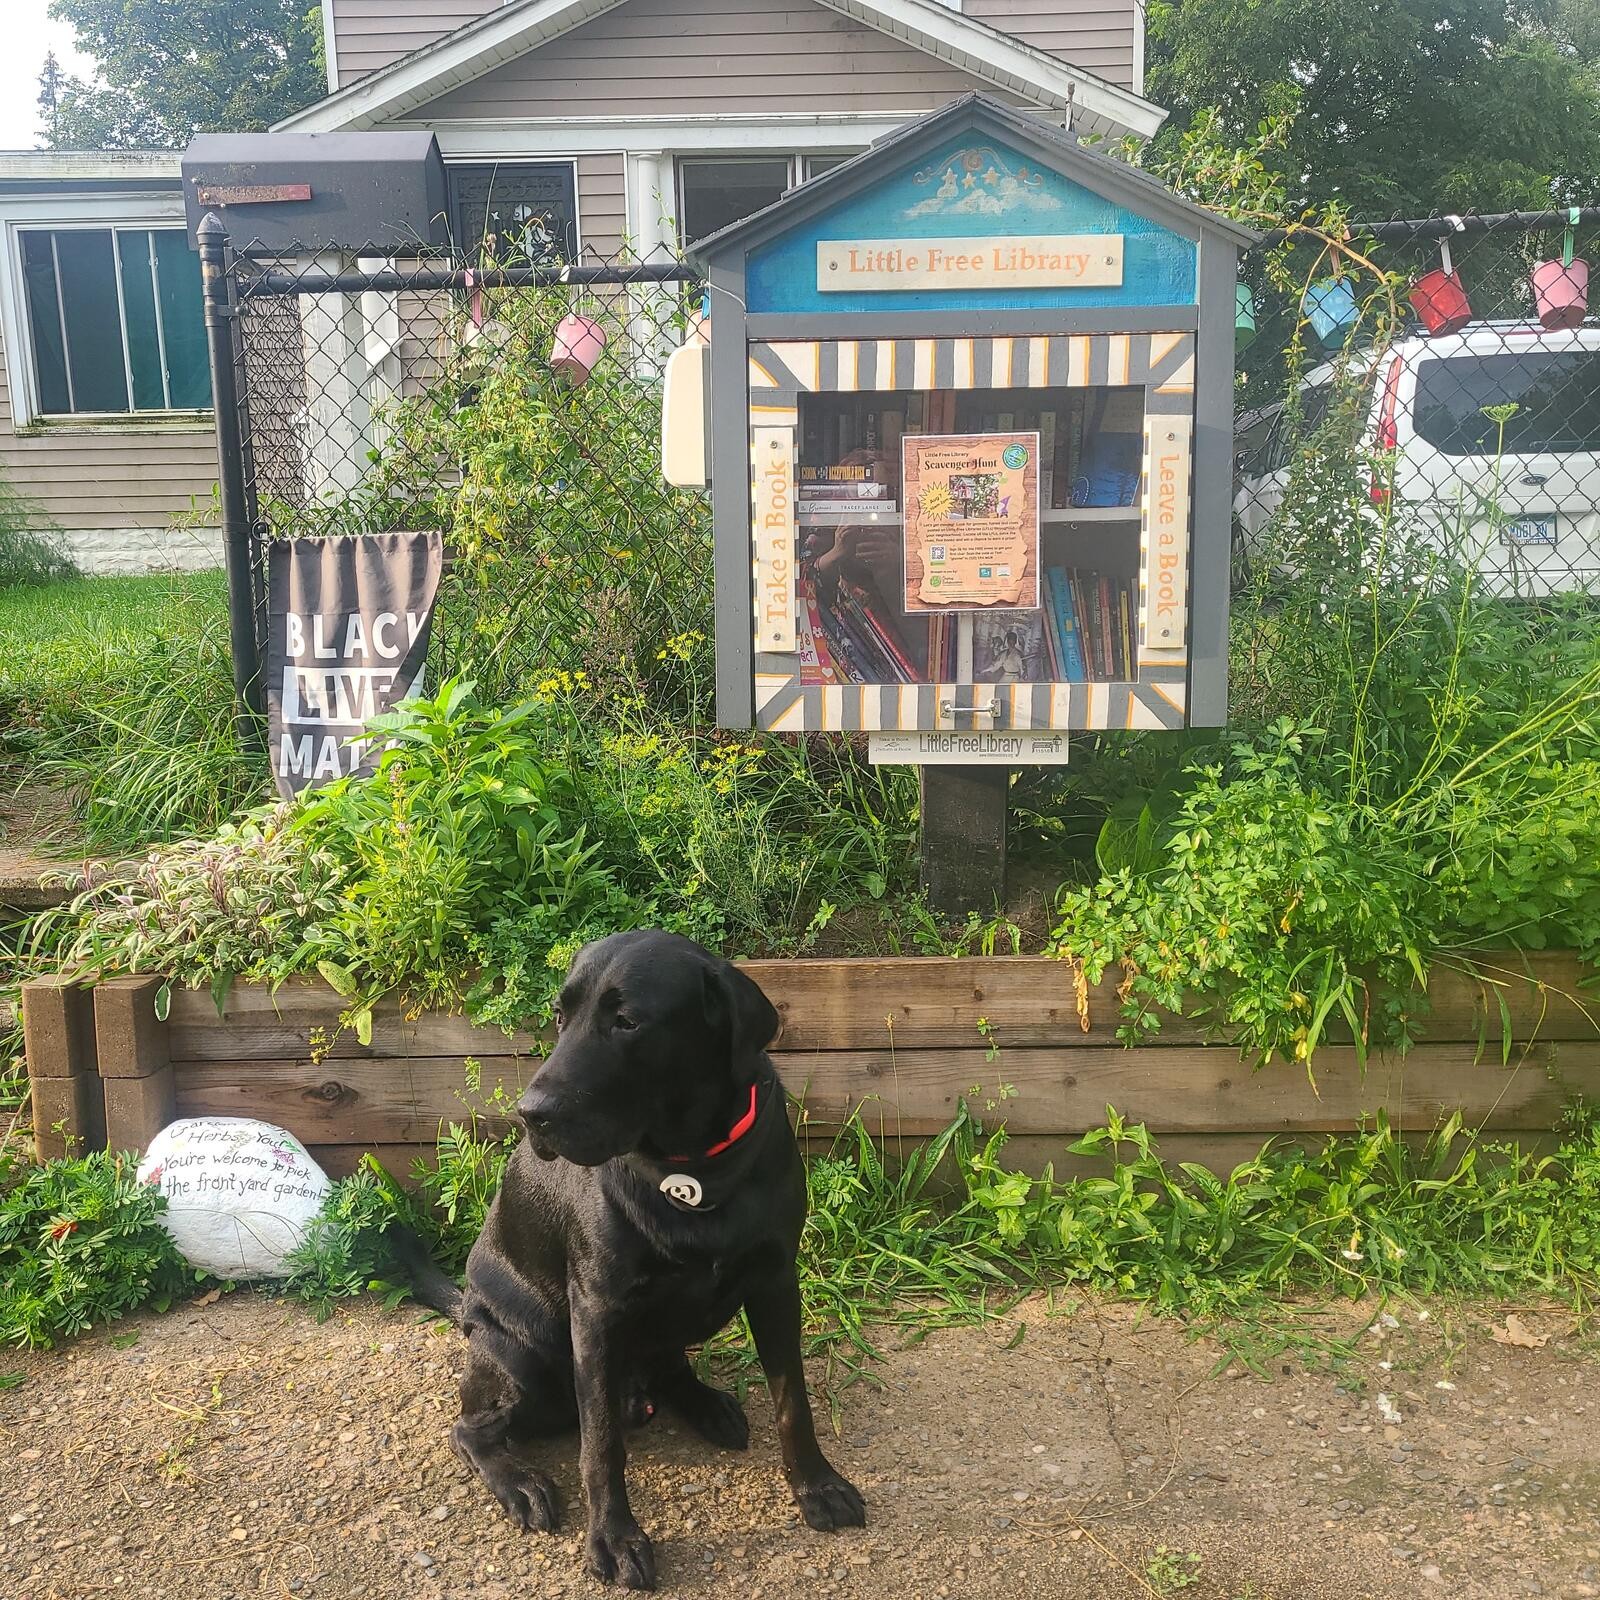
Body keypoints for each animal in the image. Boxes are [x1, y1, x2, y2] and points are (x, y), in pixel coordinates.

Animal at [406, 928, 870, 1587]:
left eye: (627, 1021)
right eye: (560, 1016)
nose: (531, 1114)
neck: (692, 1170)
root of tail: (467, 1308)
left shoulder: (777, 1281)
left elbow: (792, 1402)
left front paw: (817, 1485)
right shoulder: (597, 1312)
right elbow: (600, 1443)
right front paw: (614, 1538)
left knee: (668, 1366)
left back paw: (705, 1403)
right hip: (523, 1357)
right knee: (470, 1430)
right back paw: (520, 1483)